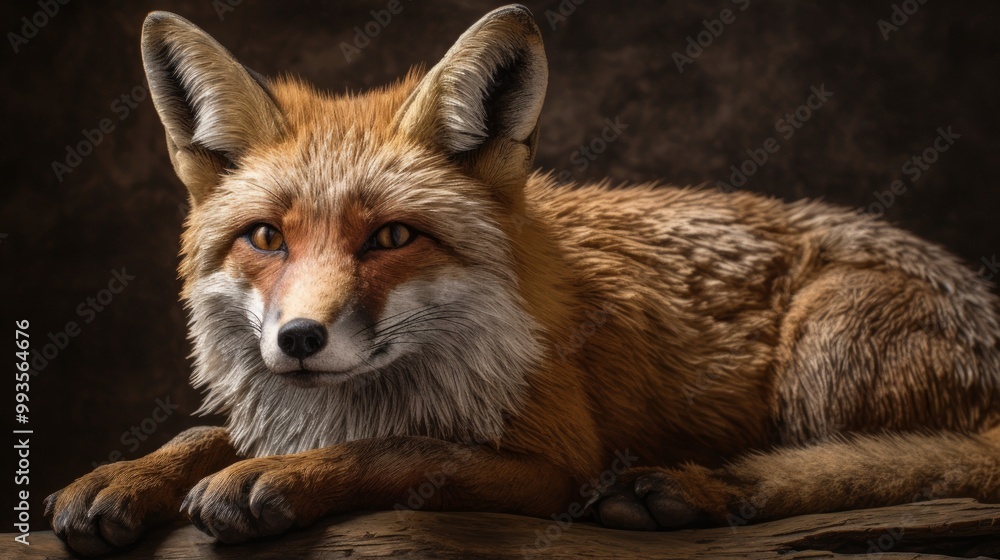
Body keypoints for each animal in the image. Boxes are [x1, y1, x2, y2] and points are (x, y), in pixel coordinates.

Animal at [45, 4, 1000, 557]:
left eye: (392, 236)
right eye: (266, 238)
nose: (299, 340)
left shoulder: (553, 471)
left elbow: (403, 449)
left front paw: (283, 476)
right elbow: (205, 434)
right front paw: (126, 474)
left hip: (823, 347)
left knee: (856, 472)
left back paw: (692, 491)